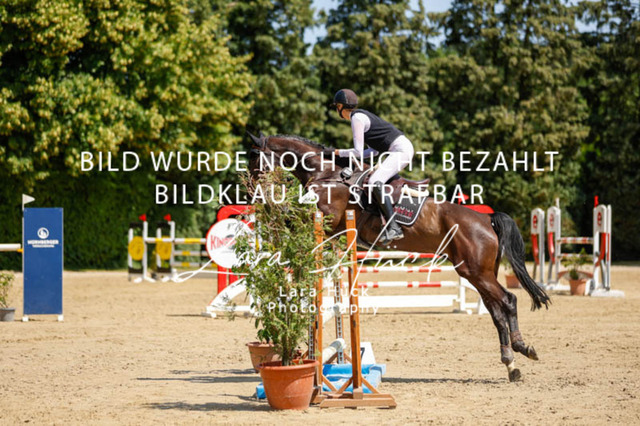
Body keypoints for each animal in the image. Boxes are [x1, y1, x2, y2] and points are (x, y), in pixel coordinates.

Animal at [247, 132, 551, 382]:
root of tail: (486, 219)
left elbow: (291, 215)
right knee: (496, 311)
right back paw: (510, 364)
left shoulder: (326, 215)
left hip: (478, 273)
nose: (253, 195)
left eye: (254, 161)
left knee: (508, 301)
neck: (327, 173)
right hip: (474, 272)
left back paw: (523, 348)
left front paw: (273, 216)